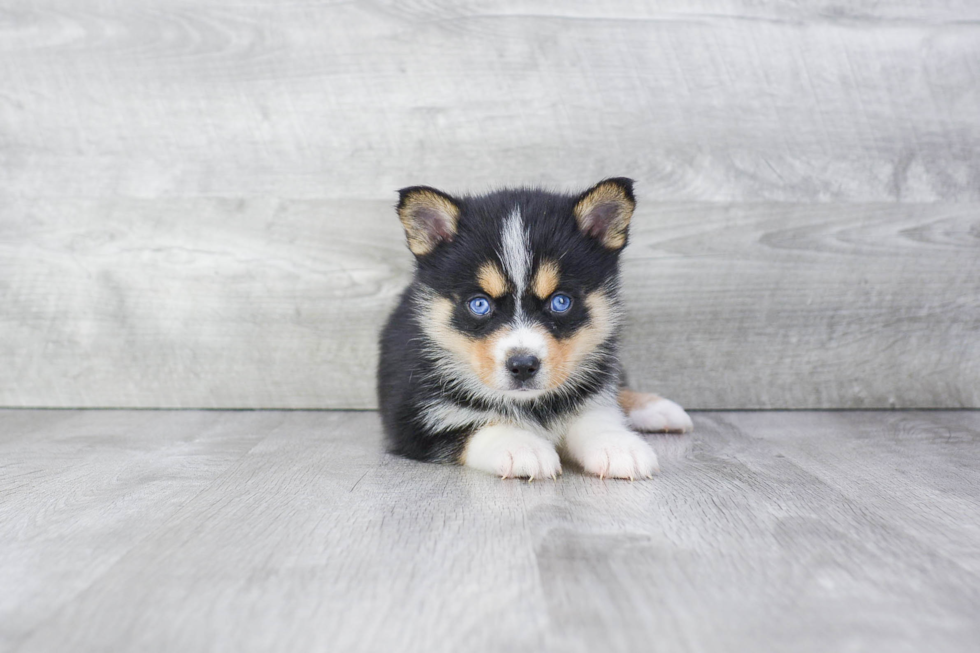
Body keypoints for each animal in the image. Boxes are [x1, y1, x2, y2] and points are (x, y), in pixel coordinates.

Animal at [378, 178, 692, 478]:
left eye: (561, 301)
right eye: (479, 304)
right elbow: (475, 426)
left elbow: (596, 413)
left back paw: (657, 408)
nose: (522, 366)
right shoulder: (412, 418)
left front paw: (617, 446)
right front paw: (521, 447)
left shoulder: (592, 386)